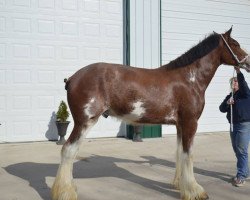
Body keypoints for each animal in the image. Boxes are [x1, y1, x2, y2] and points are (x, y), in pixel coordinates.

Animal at [51, 27, 250, 200]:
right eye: (235, 44)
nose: (248, 62)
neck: (189, 79)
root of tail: (72, 78)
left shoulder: (180, 125)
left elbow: (179, 153)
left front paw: (179, 185)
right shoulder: (190, 122)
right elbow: (189, 155)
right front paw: (195, 191)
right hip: (84, 122)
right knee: (68, 150)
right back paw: (65, 192)